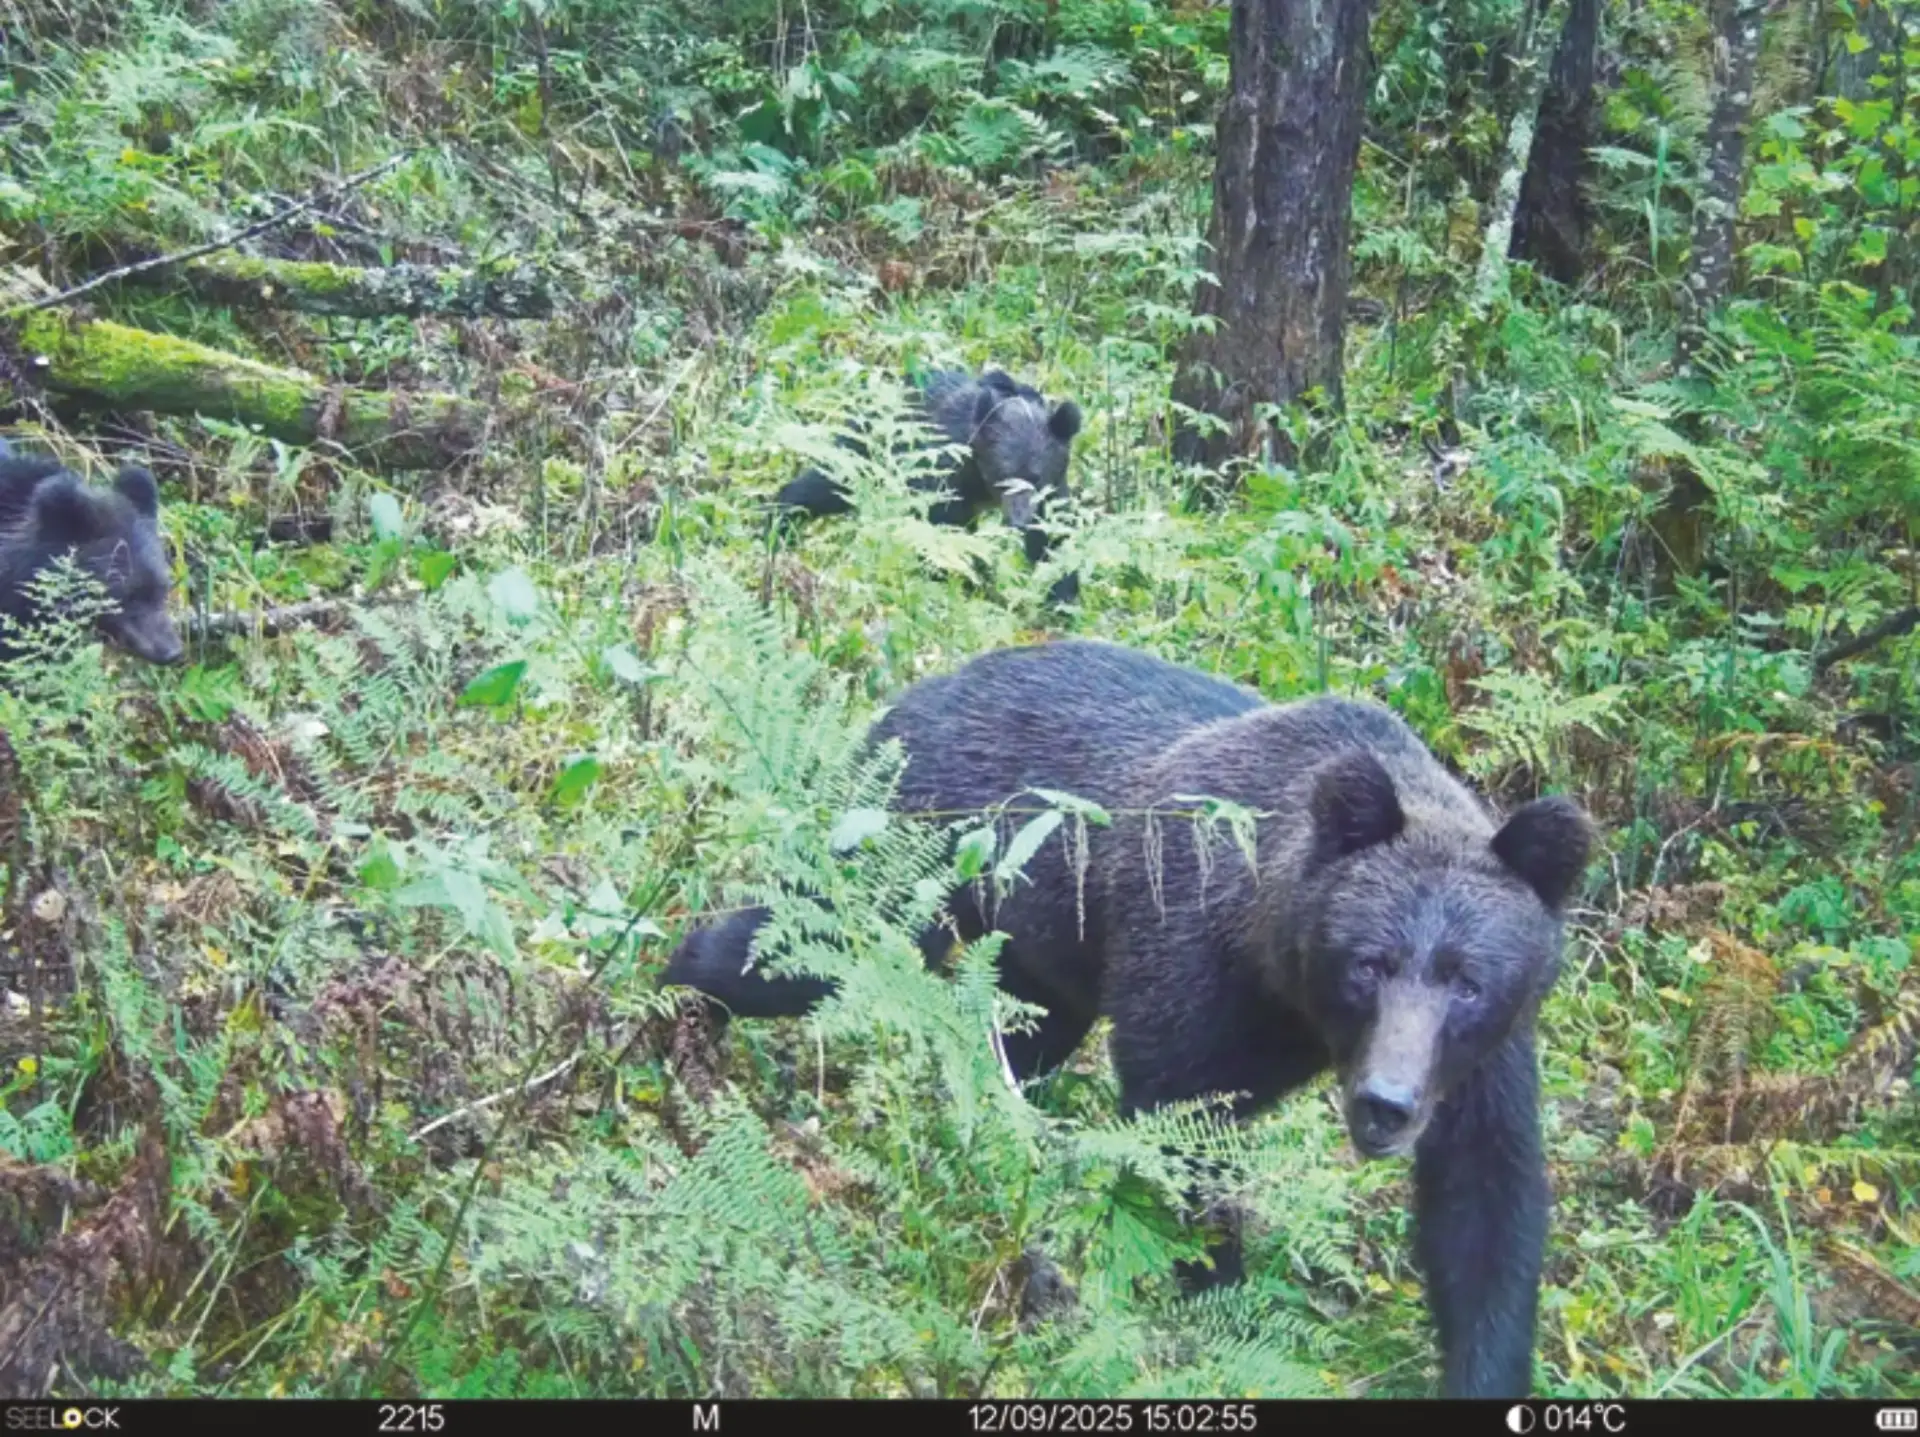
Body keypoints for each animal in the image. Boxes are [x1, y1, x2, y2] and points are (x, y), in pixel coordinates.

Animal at [660, 638, 1596, 1398]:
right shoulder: (1190, 958)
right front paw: (1216, 1299)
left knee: (1022, 1040)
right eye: (1370, 962)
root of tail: (909, 692)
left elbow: (1485, 1207)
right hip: (914, 851)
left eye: (1465, 980)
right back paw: (676, 995)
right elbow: (1174, 1131)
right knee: (797, 937)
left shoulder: (1483, 1061)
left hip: (1036, 948)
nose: (1386, 1104)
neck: (1285, 980)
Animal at [771, 368, 1084, 608]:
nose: (1018, 521)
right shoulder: (945, 470)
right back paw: (779, 520)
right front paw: (978, 583)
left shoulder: (1053, 490)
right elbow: (946, 533)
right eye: (1002, 475)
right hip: (869, 448)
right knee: (828, 482)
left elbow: (1055, 537)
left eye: (1037, 477)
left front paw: (1061, 595)